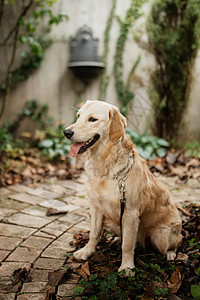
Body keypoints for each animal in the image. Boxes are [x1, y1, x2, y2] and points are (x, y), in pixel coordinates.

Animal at [63, 99, 182, 276]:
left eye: (92, 119)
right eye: (78, 116)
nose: (66, 132)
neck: (105, 166)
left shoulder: (130, 213)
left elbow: (128, 244)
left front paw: (127, 268)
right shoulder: (96, 207)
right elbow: (94, 234)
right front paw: (86, 251)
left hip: (161, 236)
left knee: (174, 242)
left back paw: (171, 254)